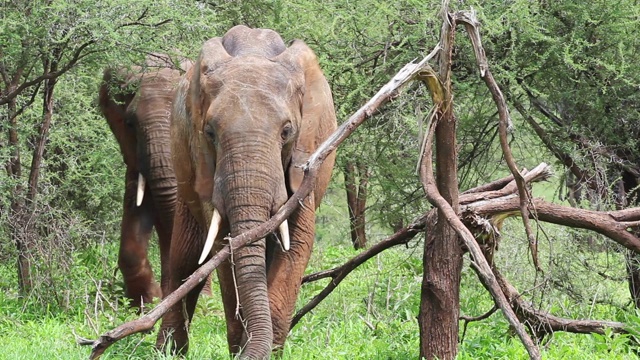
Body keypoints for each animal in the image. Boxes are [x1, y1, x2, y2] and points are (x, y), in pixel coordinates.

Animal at [158, 24, 338, 358]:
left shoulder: (308, 157)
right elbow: (224, 246)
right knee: (184, 261)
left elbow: (296, 243)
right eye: (210, 133)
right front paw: (241, 347)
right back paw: (167, 351)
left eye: (287, 131)